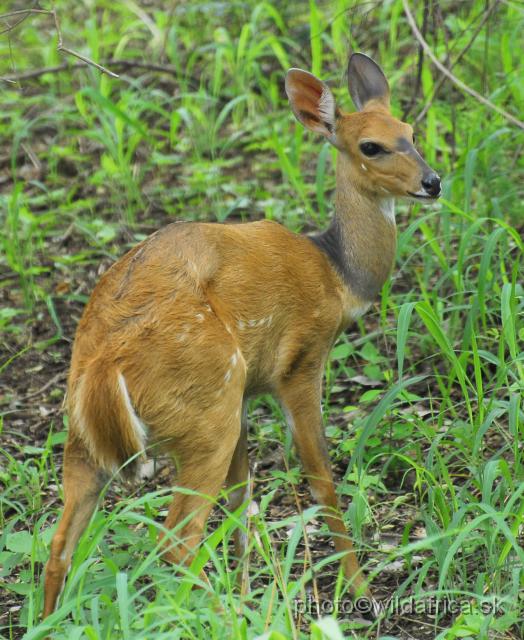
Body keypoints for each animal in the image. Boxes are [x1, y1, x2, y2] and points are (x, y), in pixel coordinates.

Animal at [43, 56, 440, 620]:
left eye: (410, 131)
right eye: (371, 146)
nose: (433, 182)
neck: (337, 274)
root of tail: (105, 365)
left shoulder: (248, 395)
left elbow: (241, 500)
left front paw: (253, 588)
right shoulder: (299, 363)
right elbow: (322, 483)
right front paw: (360, 593)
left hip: (89, 435)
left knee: (60, 545)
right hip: (206, 412)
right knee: (175, 541)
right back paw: (213, 610)